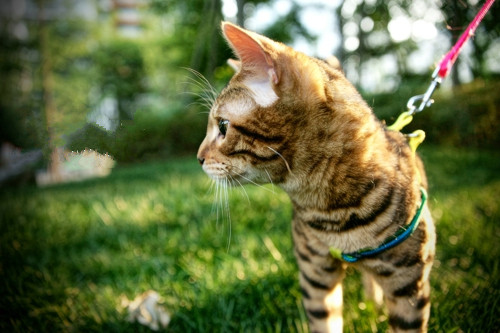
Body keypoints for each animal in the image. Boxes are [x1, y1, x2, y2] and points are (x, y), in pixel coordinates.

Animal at [197, 21, 436, 332]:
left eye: (223, 126)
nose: (198, 157)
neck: (332, 212)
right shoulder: (315, 277)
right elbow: (325, 322)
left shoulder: (408, 285)